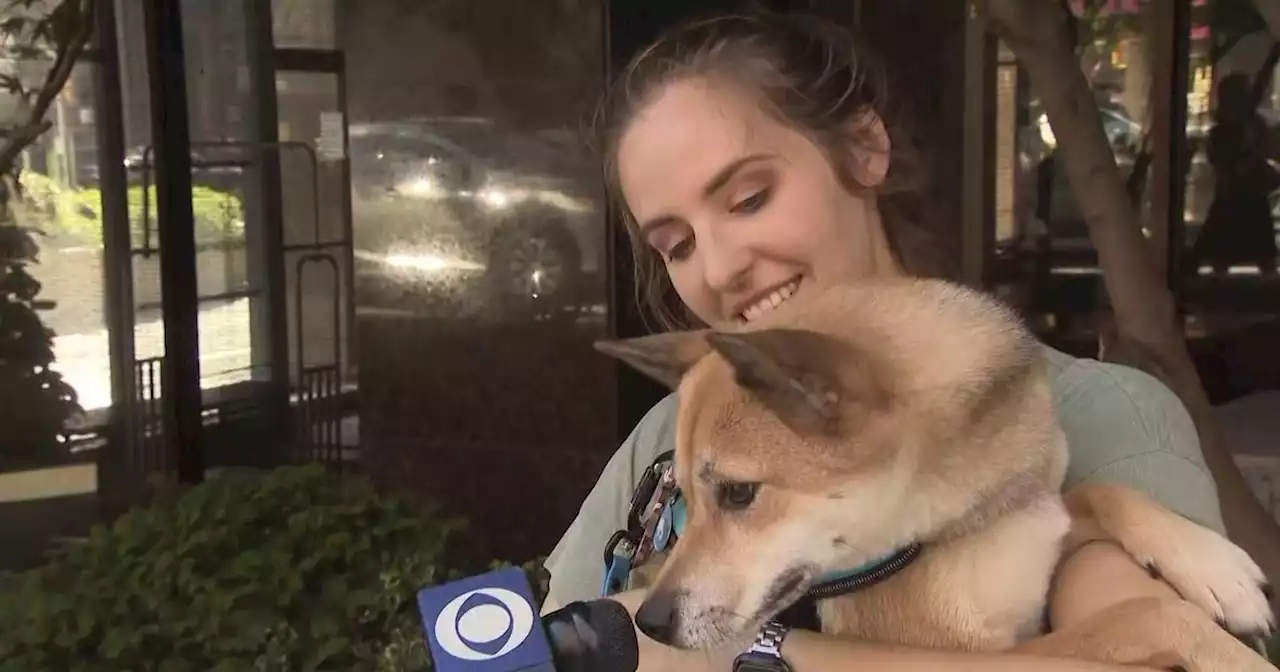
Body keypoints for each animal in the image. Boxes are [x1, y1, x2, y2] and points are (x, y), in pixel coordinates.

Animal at [593, 276, 1274, 670]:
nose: (647, 623)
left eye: (738, 493)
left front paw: (1216, 568)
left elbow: (1104, 492)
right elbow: (1144, 612)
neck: (947, 530)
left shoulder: (1037, 522)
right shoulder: (980, 654)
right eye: (683, 497)